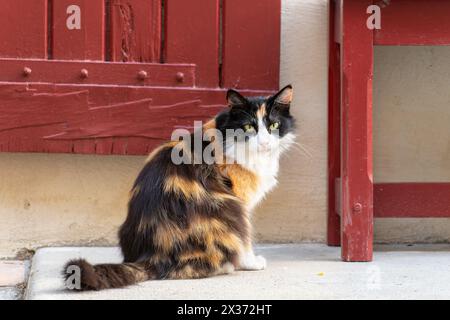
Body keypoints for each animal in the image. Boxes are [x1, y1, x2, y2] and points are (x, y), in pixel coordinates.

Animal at [64, 84, 296, 290]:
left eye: (274, 126)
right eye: (248, 127)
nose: (264, 143)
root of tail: (150, 255)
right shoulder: (242, 202)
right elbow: (245, 239)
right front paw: (252, 263)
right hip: (230, 209)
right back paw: (228, 266)